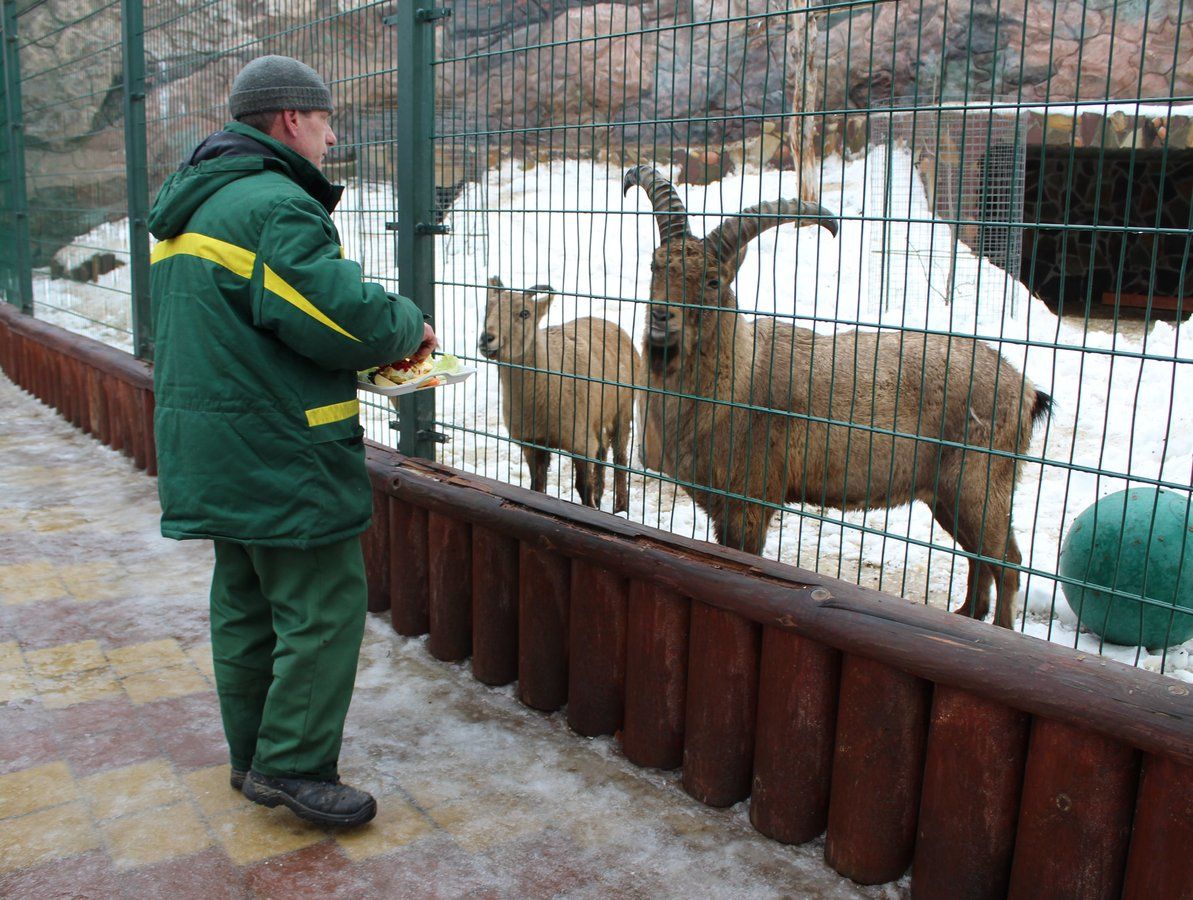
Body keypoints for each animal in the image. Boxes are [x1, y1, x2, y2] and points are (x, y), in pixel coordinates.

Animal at [477, 273, 644, 510]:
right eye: (487, 308)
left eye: (525, 313)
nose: (486, 338)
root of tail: (613, 326)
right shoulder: (532, 443)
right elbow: (536, 486)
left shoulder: (580, 442)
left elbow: (583, 487)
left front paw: (590, 507)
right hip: (596, 415)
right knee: (602, 448)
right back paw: (601, 495)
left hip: (623, 406)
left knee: (619, 456)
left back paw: (620, 507)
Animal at [625, 164, 1054, 625]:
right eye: (654, 266)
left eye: (711, 280)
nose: (661, 317)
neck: (736, 379)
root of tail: (1025, 389)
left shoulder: (750, 500)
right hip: (949, 496)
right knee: (980, 559)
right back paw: (965, 614)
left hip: (980, 485)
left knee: (1007, 562)